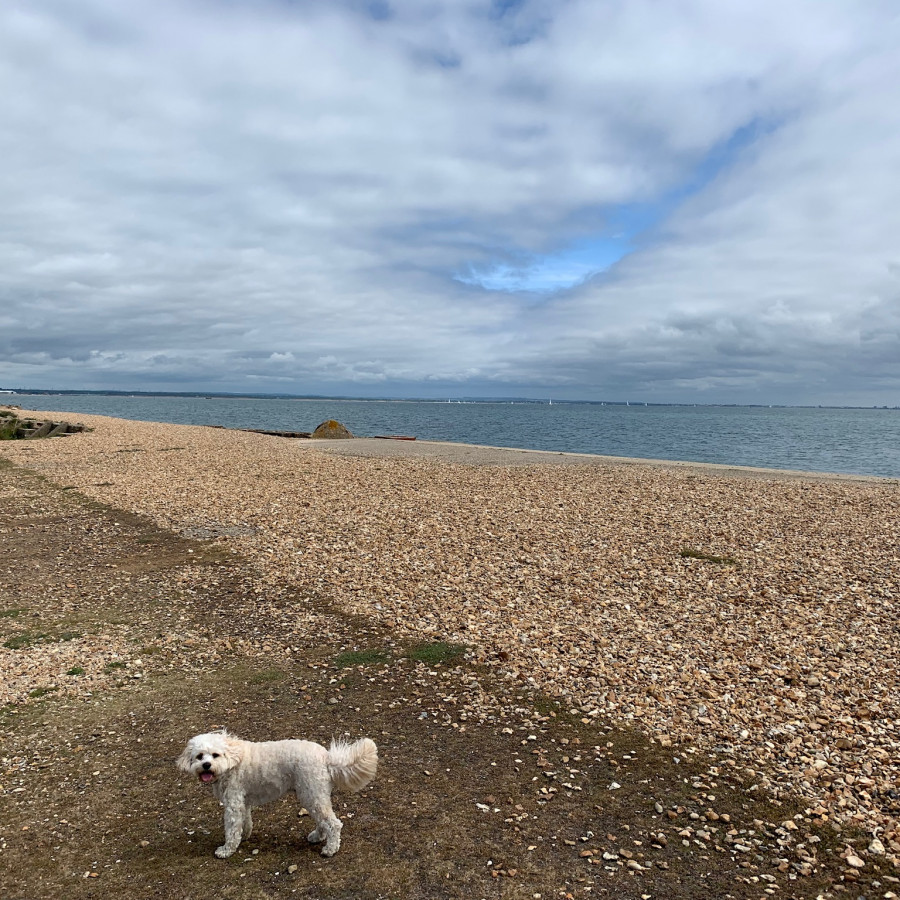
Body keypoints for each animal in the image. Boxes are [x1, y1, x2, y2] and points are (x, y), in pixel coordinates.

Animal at [178, 732, 378, 856]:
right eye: (199, 756)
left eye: (215, 755)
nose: (206, 765)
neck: (231, 761)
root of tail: (327, 757)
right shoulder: (243, 802)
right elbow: (246, 821)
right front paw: (245, 835)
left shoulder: (233, 804)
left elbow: (231, 829)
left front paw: (227, 850)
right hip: (312, 795)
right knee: (323, 821)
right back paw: (317, 837)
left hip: (311, 794)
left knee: (334, 824)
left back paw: (330, 849)